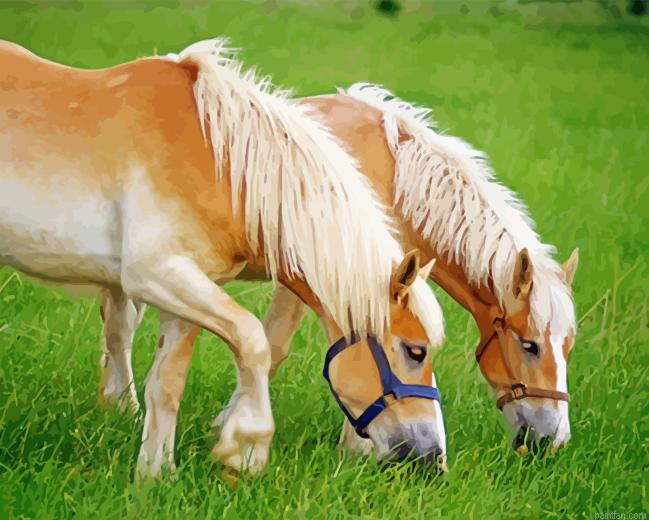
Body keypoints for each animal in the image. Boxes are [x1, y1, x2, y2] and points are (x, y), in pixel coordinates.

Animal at [0, 38, 448, 477]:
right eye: (415, 351)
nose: (431, 456)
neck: (221, 165)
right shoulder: (155, 274)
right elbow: (252, 340)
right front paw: (245, 448)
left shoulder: (187, 291)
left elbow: (166, 384)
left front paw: (156, 476)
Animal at [100, 81, 578, 455]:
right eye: (530, 345)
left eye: (568, 347)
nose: (553, 440)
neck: (394, 175)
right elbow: (278, 347)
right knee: (121, 327)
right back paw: (123, 407)